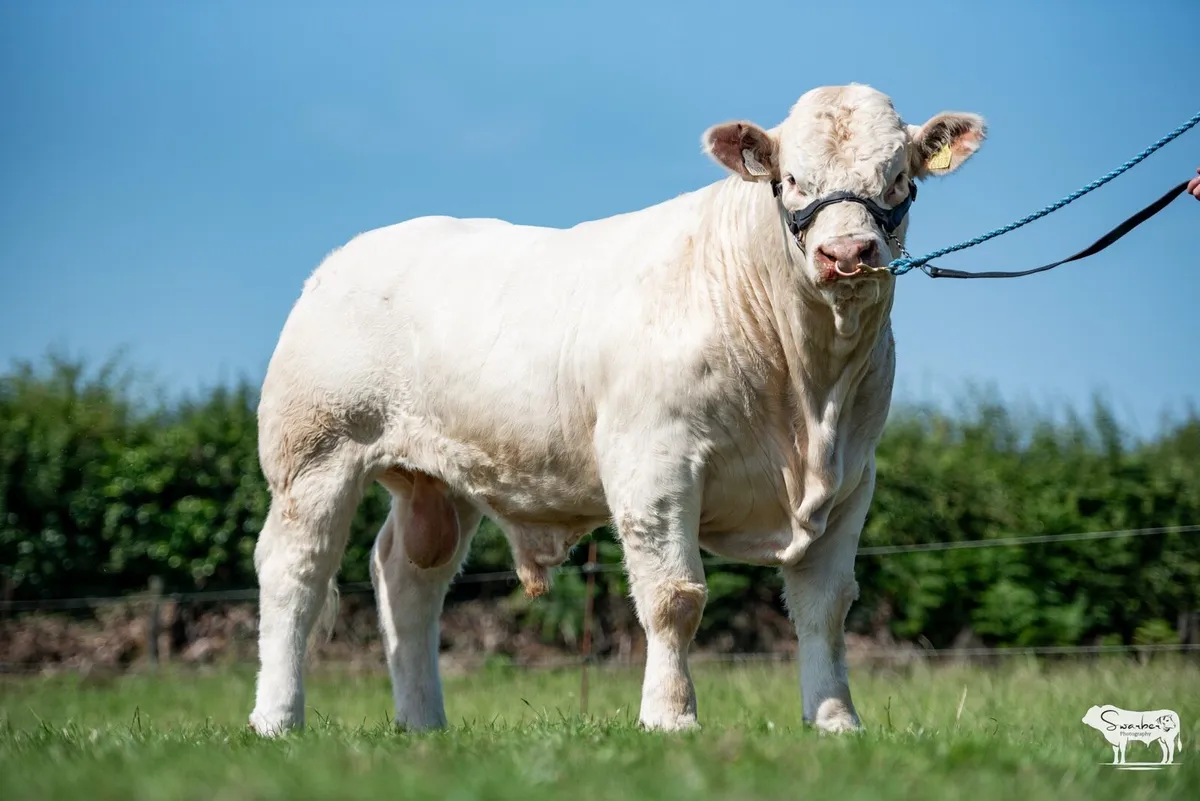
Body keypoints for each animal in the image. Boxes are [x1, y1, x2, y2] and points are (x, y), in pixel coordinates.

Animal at [247, 83, 987, 737]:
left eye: (898, 177)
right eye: (792, 179)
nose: (847, 253)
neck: (808, 399)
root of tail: (346, 258)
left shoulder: (852, 479)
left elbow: (826, 607)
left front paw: (835, 720)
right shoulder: (653, 462)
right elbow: (674, 598)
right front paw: (670, 716)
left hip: (439, 478)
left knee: (407, 579)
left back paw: (423, 721)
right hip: (314, 453)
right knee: (295, 574)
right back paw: (277, 718)